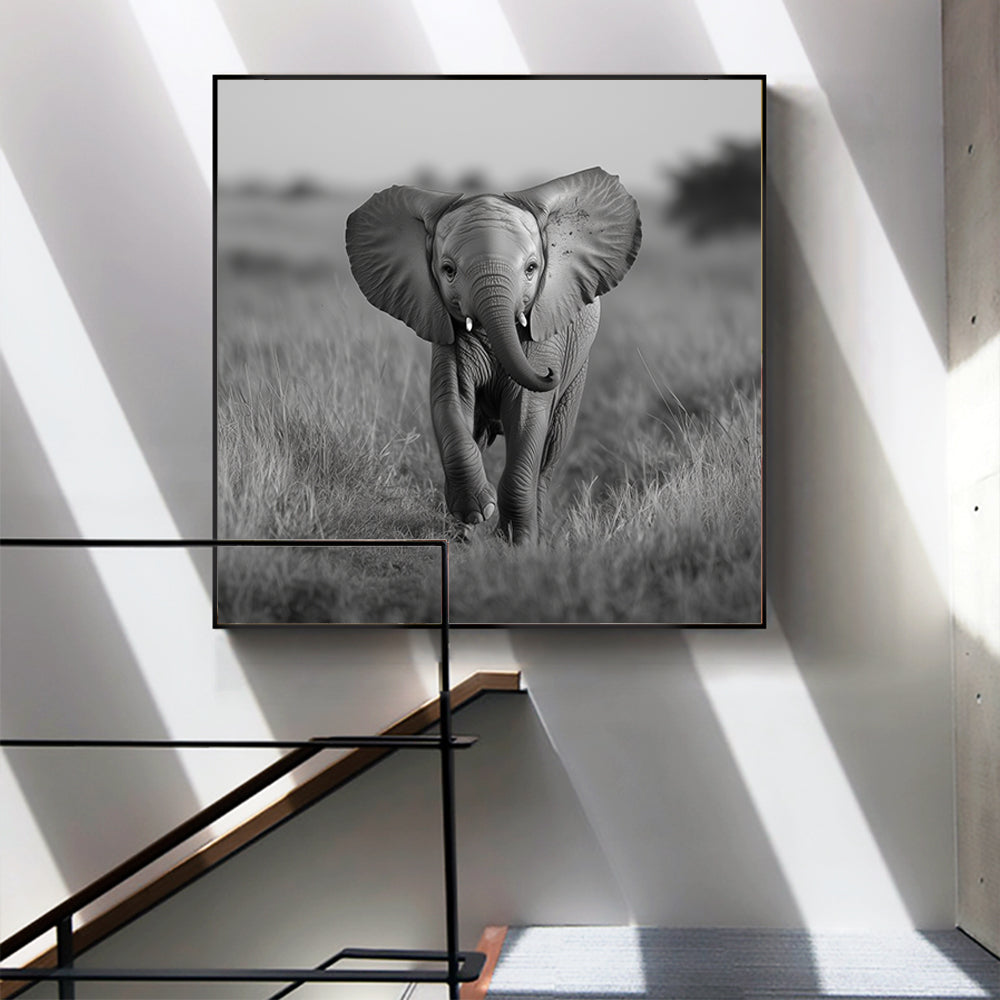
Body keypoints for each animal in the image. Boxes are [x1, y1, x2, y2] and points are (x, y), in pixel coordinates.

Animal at [345, 167, 641, 544]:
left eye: (531, 269)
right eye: (448, 270)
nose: (549, 373)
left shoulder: (546, 335)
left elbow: (528, 415)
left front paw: (517, 542)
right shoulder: (447, 332)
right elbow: (451, 400)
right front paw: (477, 512)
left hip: (578, 369)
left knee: (551, 450)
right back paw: (461, 533)